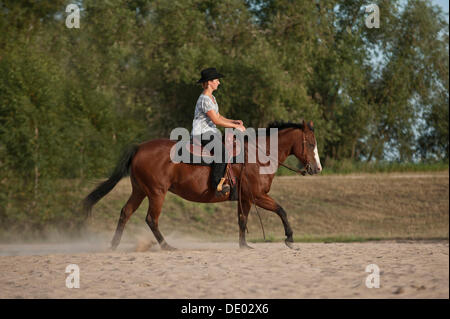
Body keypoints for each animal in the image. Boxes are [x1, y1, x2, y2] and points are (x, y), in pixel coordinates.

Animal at [82, 120, 322, 250]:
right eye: (310, 143)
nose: (317, 168)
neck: (257, 156)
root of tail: (140, 147)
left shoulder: (246, 198)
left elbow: (242, 220)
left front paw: (244, 245)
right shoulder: (258, 195)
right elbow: (281, 210)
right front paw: (290, 239)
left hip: (140, 190)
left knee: (125, 212)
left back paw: (113, 245)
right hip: (157, 193)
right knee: (151, 219)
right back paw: (167, 246)